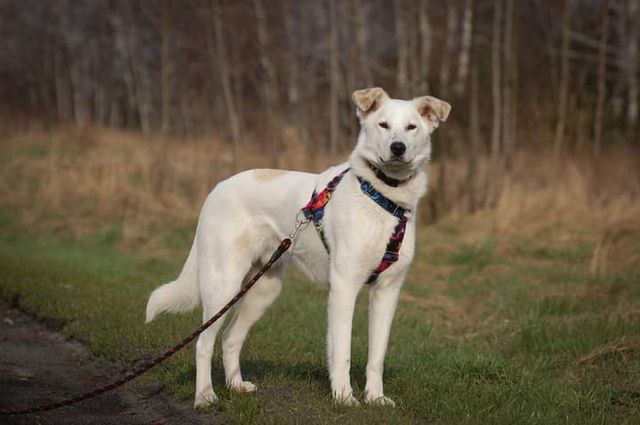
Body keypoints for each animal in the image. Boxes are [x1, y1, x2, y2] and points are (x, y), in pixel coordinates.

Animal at [145, 87, 450, 408]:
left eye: (411, 127)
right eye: (383, 125)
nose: (398, 147)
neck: (382, 196)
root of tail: (216, 189)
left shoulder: (387, 291)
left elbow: (376, 356)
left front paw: (375, 398)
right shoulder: (344, 287)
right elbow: (342, 352)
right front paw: (344, 398)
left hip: (263, 290)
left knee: (230, 339)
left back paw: (236, 386)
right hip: (223, 285)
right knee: (203, 342)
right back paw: (205, 396)